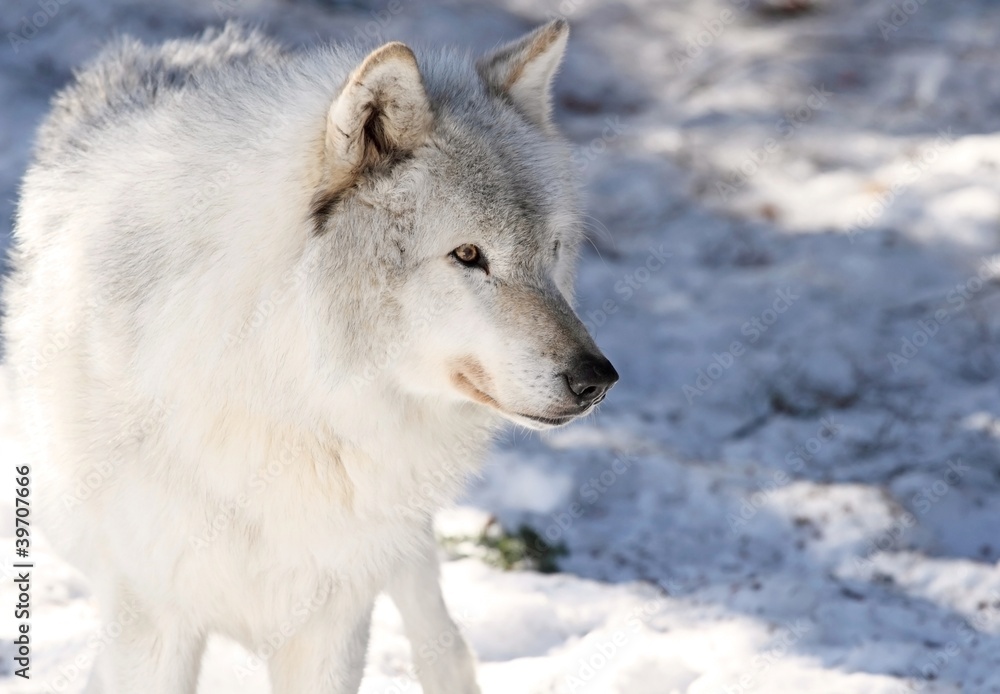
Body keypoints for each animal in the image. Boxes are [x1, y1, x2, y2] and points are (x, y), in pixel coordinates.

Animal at [3, 20, 616, 694]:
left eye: (551, 250)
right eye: (468, 254)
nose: (597, 378)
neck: (288, 400)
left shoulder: (334, 613)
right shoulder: (155, 616)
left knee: (443, 639)